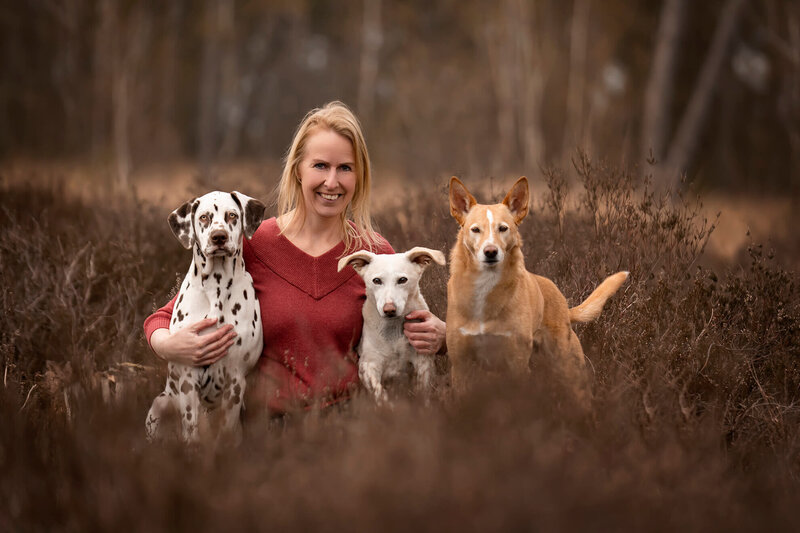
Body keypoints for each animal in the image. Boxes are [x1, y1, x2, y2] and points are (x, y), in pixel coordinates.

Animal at [146, 189, 266, 442]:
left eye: (232, 215)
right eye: (203, 217)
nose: (218, 237)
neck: (216, 286)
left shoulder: (235, 380)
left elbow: (227, 429)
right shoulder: (187, 380)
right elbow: (191, 429)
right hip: (161, 404)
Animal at [334, 247, 444, 402]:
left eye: (402, 280)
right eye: (376, 280)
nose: (389, 309)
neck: (393, 330)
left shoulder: (423, 362)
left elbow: (422, 391)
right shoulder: (368, 366)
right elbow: (380, 393)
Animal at [446, 176, 628, 404]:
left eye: (503, 228)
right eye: (475, 229)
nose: (490, 252)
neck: (485, 289)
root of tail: (564, 304)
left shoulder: (516, 364)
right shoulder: (460, 366)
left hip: (568, 366)